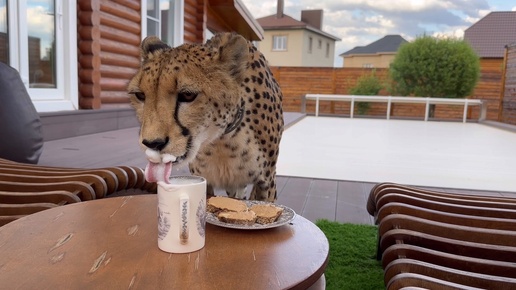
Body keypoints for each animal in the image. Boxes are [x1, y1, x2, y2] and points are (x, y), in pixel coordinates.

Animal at [127, 32, 284, 202]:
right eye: (140, 95)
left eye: (188, 95)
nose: (153, 143)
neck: (221, 141)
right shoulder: (204, 179)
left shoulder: (266, 182)